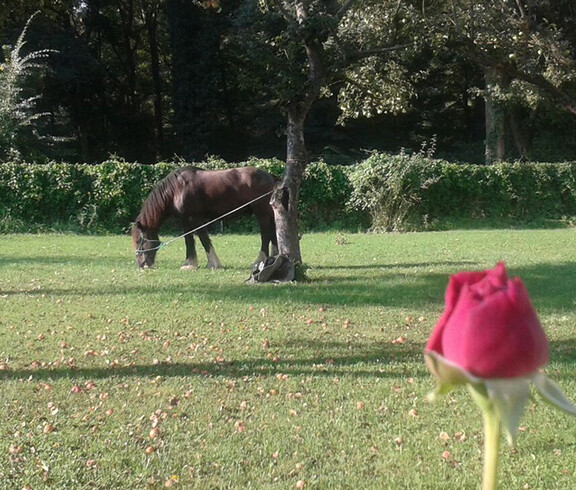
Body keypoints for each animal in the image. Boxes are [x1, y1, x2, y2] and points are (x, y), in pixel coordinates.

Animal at [134, 167, 280, 268]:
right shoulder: (185, 220)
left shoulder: (196, 219)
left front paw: (213, 264)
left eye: (139, 241)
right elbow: (188, 240)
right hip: (268, 214)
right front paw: (190, 264)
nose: (142, 265)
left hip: (261, 213)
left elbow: (204, 239)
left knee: (265, 236)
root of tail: (270, 176)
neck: (177, 189)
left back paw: (259, 260)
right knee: (273, 233)